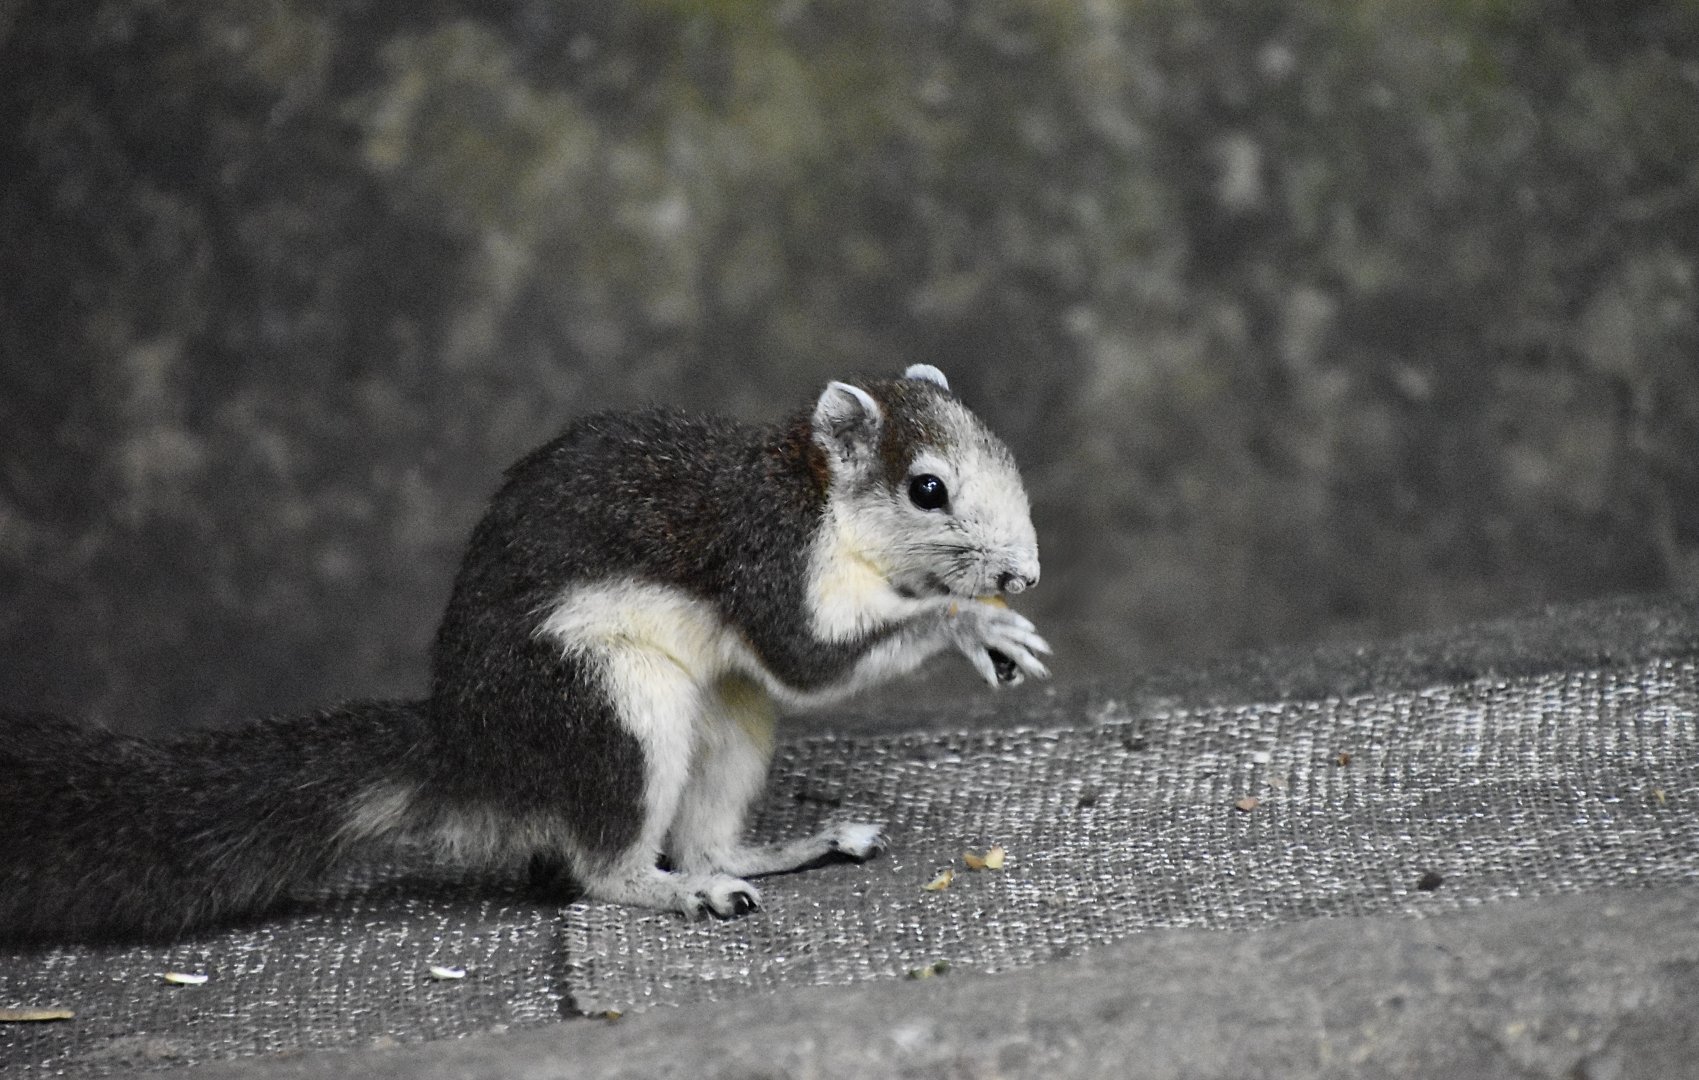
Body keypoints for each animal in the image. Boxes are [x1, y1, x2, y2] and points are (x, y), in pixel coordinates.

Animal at [0, 365, 1048, 944]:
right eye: (925, 489)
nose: (1024, 574)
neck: (819, 501)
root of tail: (478, 753)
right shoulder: (764, 557)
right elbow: (806, 661)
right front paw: (970, 623)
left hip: (724, 713)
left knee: (707, 821)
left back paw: (775, 852)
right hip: (616, 699)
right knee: (601, 871)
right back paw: (683, 892)